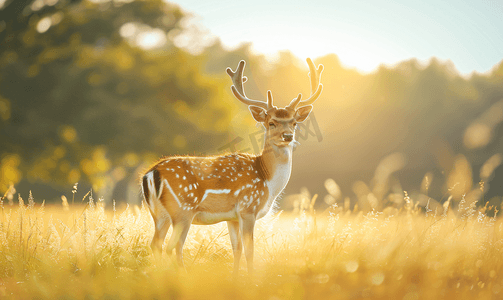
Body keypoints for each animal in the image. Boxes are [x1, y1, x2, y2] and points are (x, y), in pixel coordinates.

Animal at [140, 56, 324, 274]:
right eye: (271, 122)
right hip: (183, 209)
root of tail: (151, 174)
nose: (288, 136)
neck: (267, 181)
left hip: (159, 213)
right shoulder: (248, 207)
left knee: (156, 244)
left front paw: (235, 277)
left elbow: (236, 250)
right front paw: (251, 278)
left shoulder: (232, 218)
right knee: (173, 247)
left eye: (294, 122)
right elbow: (250, 251)